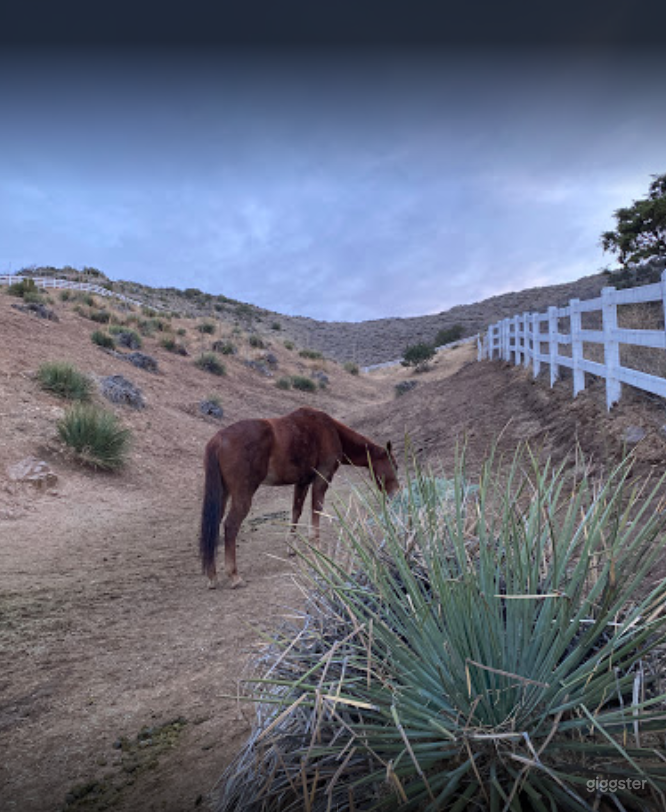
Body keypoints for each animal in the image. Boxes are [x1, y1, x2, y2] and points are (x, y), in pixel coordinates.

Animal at [199, 406, 399, 589]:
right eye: (395, 465)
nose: (396, 492)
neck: (331, 430)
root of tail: (219, 439)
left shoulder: (302, 483)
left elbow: (296, 511)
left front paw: (291, 547)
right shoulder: (321, 479)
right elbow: (316, 509)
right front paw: (316, 546)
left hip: (223, 495)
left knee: (213, 526)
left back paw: (212, 576)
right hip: (243, 495)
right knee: (230, 526)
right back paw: (234, 576)